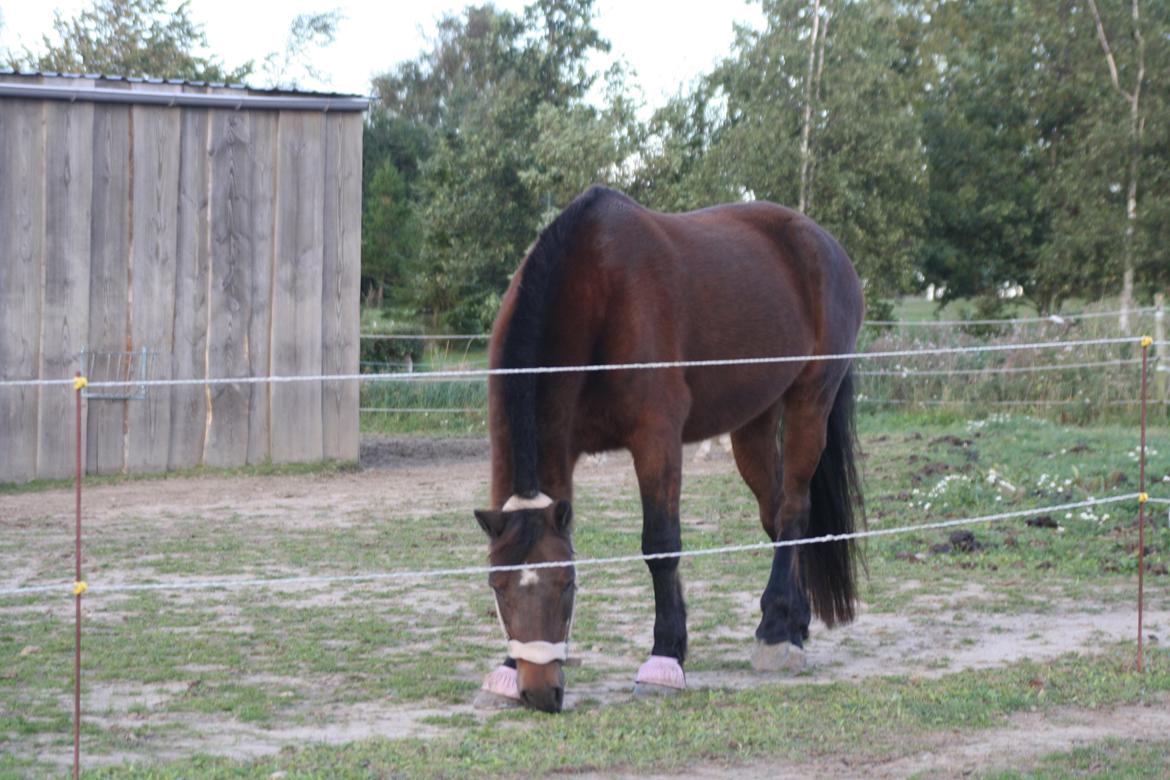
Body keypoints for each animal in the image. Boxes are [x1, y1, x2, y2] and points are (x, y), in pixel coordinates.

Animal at [470, 185, 865, 711]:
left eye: (567, 584)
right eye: (498, 588)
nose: (539, 691)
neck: (596, 288)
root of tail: (824, 243)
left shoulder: (656, 438)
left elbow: (660, 545)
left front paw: (664, 658)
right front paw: (507, 669)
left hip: (810, 401)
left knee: (794, 511)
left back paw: (776, 632)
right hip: (753, 423)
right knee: (776, 515)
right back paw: (791, 622)